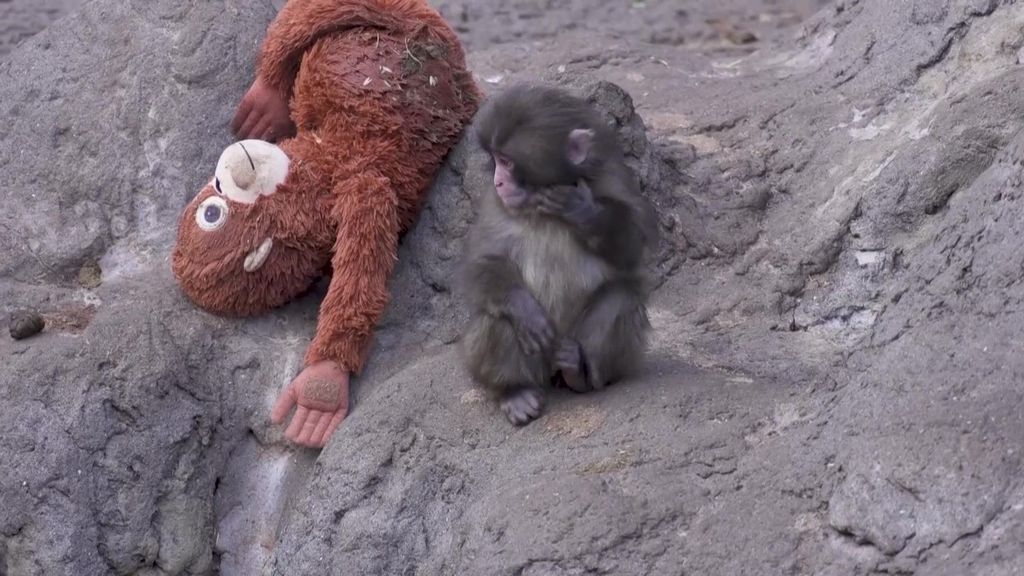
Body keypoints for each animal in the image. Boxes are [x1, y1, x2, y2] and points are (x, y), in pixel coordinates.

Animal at [459, 82, 658, 426]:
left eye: (507, 161)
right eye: (495, 159)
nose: (498, 181)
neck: (540, 208)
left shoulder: (613, 181)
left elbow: (632, 248)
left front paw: (582, 211)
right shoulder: (494, 206)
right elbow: (483, 263)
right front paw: (523, 308)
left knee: (621, 298)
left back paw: (579, 372)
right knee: (496, 321)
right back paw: (514, 392)